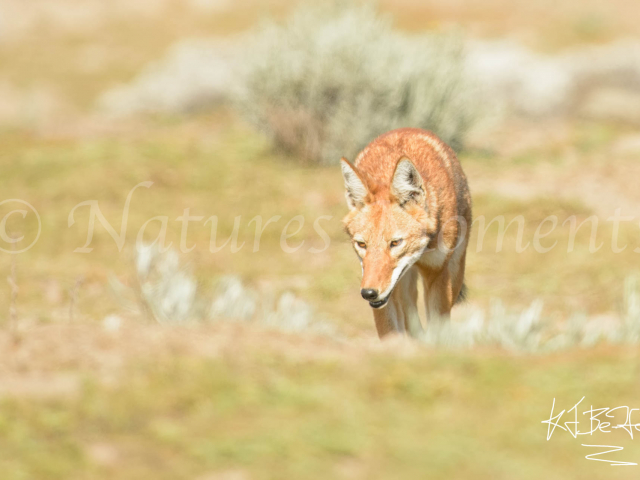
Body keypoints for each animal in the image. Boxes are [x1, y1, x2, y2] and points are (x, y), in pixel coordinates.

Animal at [340, 128, 472, 338]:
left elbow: (437, 329)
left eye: (395, 243)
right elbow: (389, 331)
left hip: (453, 274)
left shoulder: (437, 274)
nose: (368, 293)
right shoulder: (375, 284)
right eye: (362, 244)